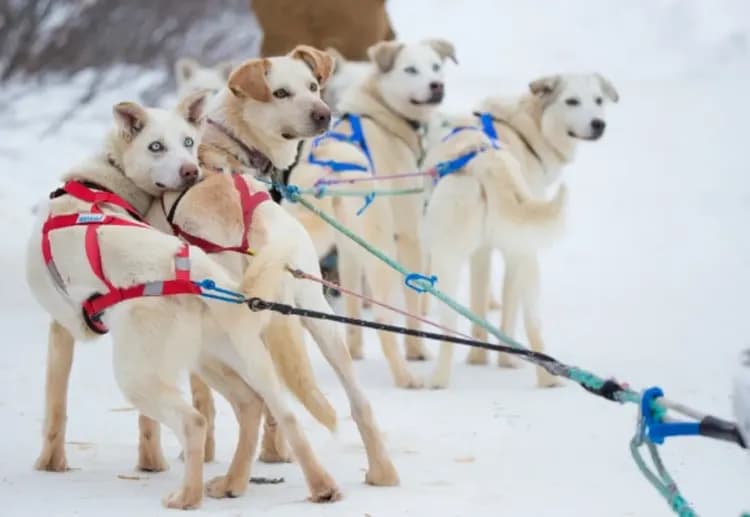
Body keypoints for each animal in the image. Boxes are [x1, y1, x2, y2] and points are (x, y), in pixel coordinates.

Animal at [282, 39, 457, 388]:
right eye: (410, 69)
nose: (437, 85)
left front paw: (355, 349)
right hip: (382, 252)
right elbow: (413, 304)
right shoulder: (408, 235)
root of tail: (330, 170)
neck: (380, 113)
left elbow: (351, 308)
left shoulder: (348, 249)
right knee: (384, 318)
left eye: (435, 66)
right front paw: (417, 350)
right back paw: (405, 376)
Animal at [422, 73, 619, 389]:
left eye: (598, 100)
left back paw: (441, 379)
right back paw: (546, 378)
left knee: (451, 325)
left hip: (454, 258)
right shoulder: (491, 251)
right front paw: (482, 357)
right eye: (572, 101)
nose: (598, 123)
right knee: (533, 324)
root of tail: (486, 160)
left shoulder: (487, 251)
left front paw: (483, 358)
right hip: (523, 255)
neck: (525, 129)